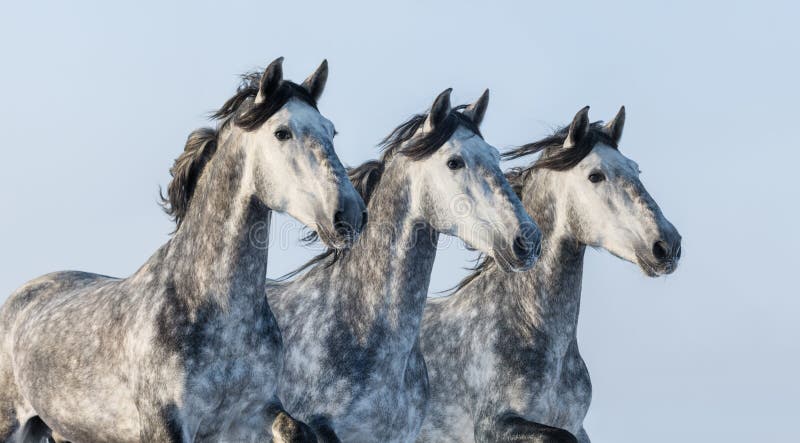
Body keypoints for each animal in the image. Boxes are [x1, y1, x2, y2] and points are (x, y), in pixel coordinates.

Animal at [0, 57, 366, 442]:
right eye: (282, 132)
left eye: (331, 131)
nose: (350, 213)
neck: (217, 311)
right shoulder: (166, 422)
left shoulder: (252, 412)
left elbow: (298, 429)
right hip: (14, 423)